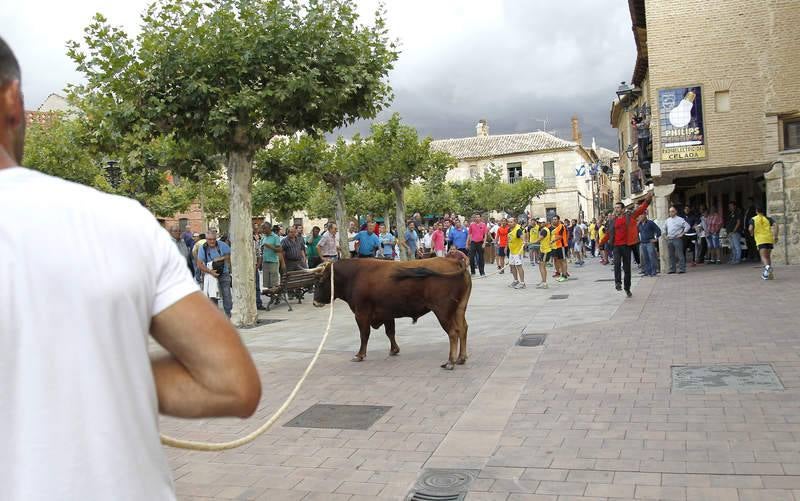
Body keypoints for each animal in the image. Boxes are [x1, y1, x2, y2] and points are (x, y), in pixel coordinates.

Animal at [312, 256, 472, 370]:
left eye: (320, 282)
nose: (315, 302)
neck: (355, 275)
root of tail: (454, 261)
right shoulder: (387, 314)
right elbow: (390, 332)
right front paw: (394, 350)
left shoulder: (361, 313)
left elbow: (364, 335)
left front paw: (359, 355)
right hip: (459, 309)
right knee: (463, 329)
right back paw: (461, 358)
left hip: (442, 311)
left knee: (453, 333)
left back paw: (450, 362)